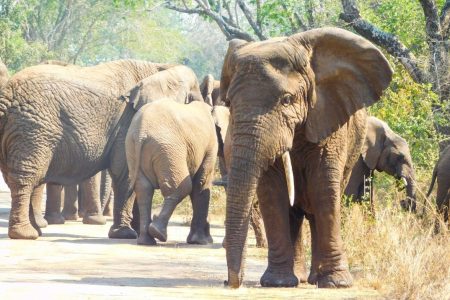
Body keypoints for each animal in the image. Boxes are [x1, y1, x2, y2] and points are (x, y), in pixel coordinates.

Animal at [0, 59, 179, 240]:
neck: (158, 68)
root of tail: (7, 93)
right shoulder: (128, 120)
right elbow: (126, 173)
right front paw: (125, 235)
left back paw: (35, 230)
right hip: (34, 129)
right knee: (26, 177)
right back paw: (26, 234)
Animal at [125, 99, 229, 245]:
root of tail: (141, 133)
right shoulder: (211, 144)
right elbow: (201, 183)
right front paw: (201, 241)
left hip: (132, 148)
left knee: (143, 191)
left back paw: (146, 241)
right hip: (168, 149)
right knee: (181, 187)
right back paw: (158, 233)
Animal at [220, 28, 392, 288]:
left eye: (287, 100)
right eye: (229, 103)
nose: (231, 282)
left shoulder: (329, 117)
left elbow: (323, 188)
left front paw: (338, 283)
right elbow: (271, 191)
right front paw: (277, 283)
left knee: (317, 204)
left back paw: (315, 279)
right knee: (294, 212)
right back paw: (298, 278)